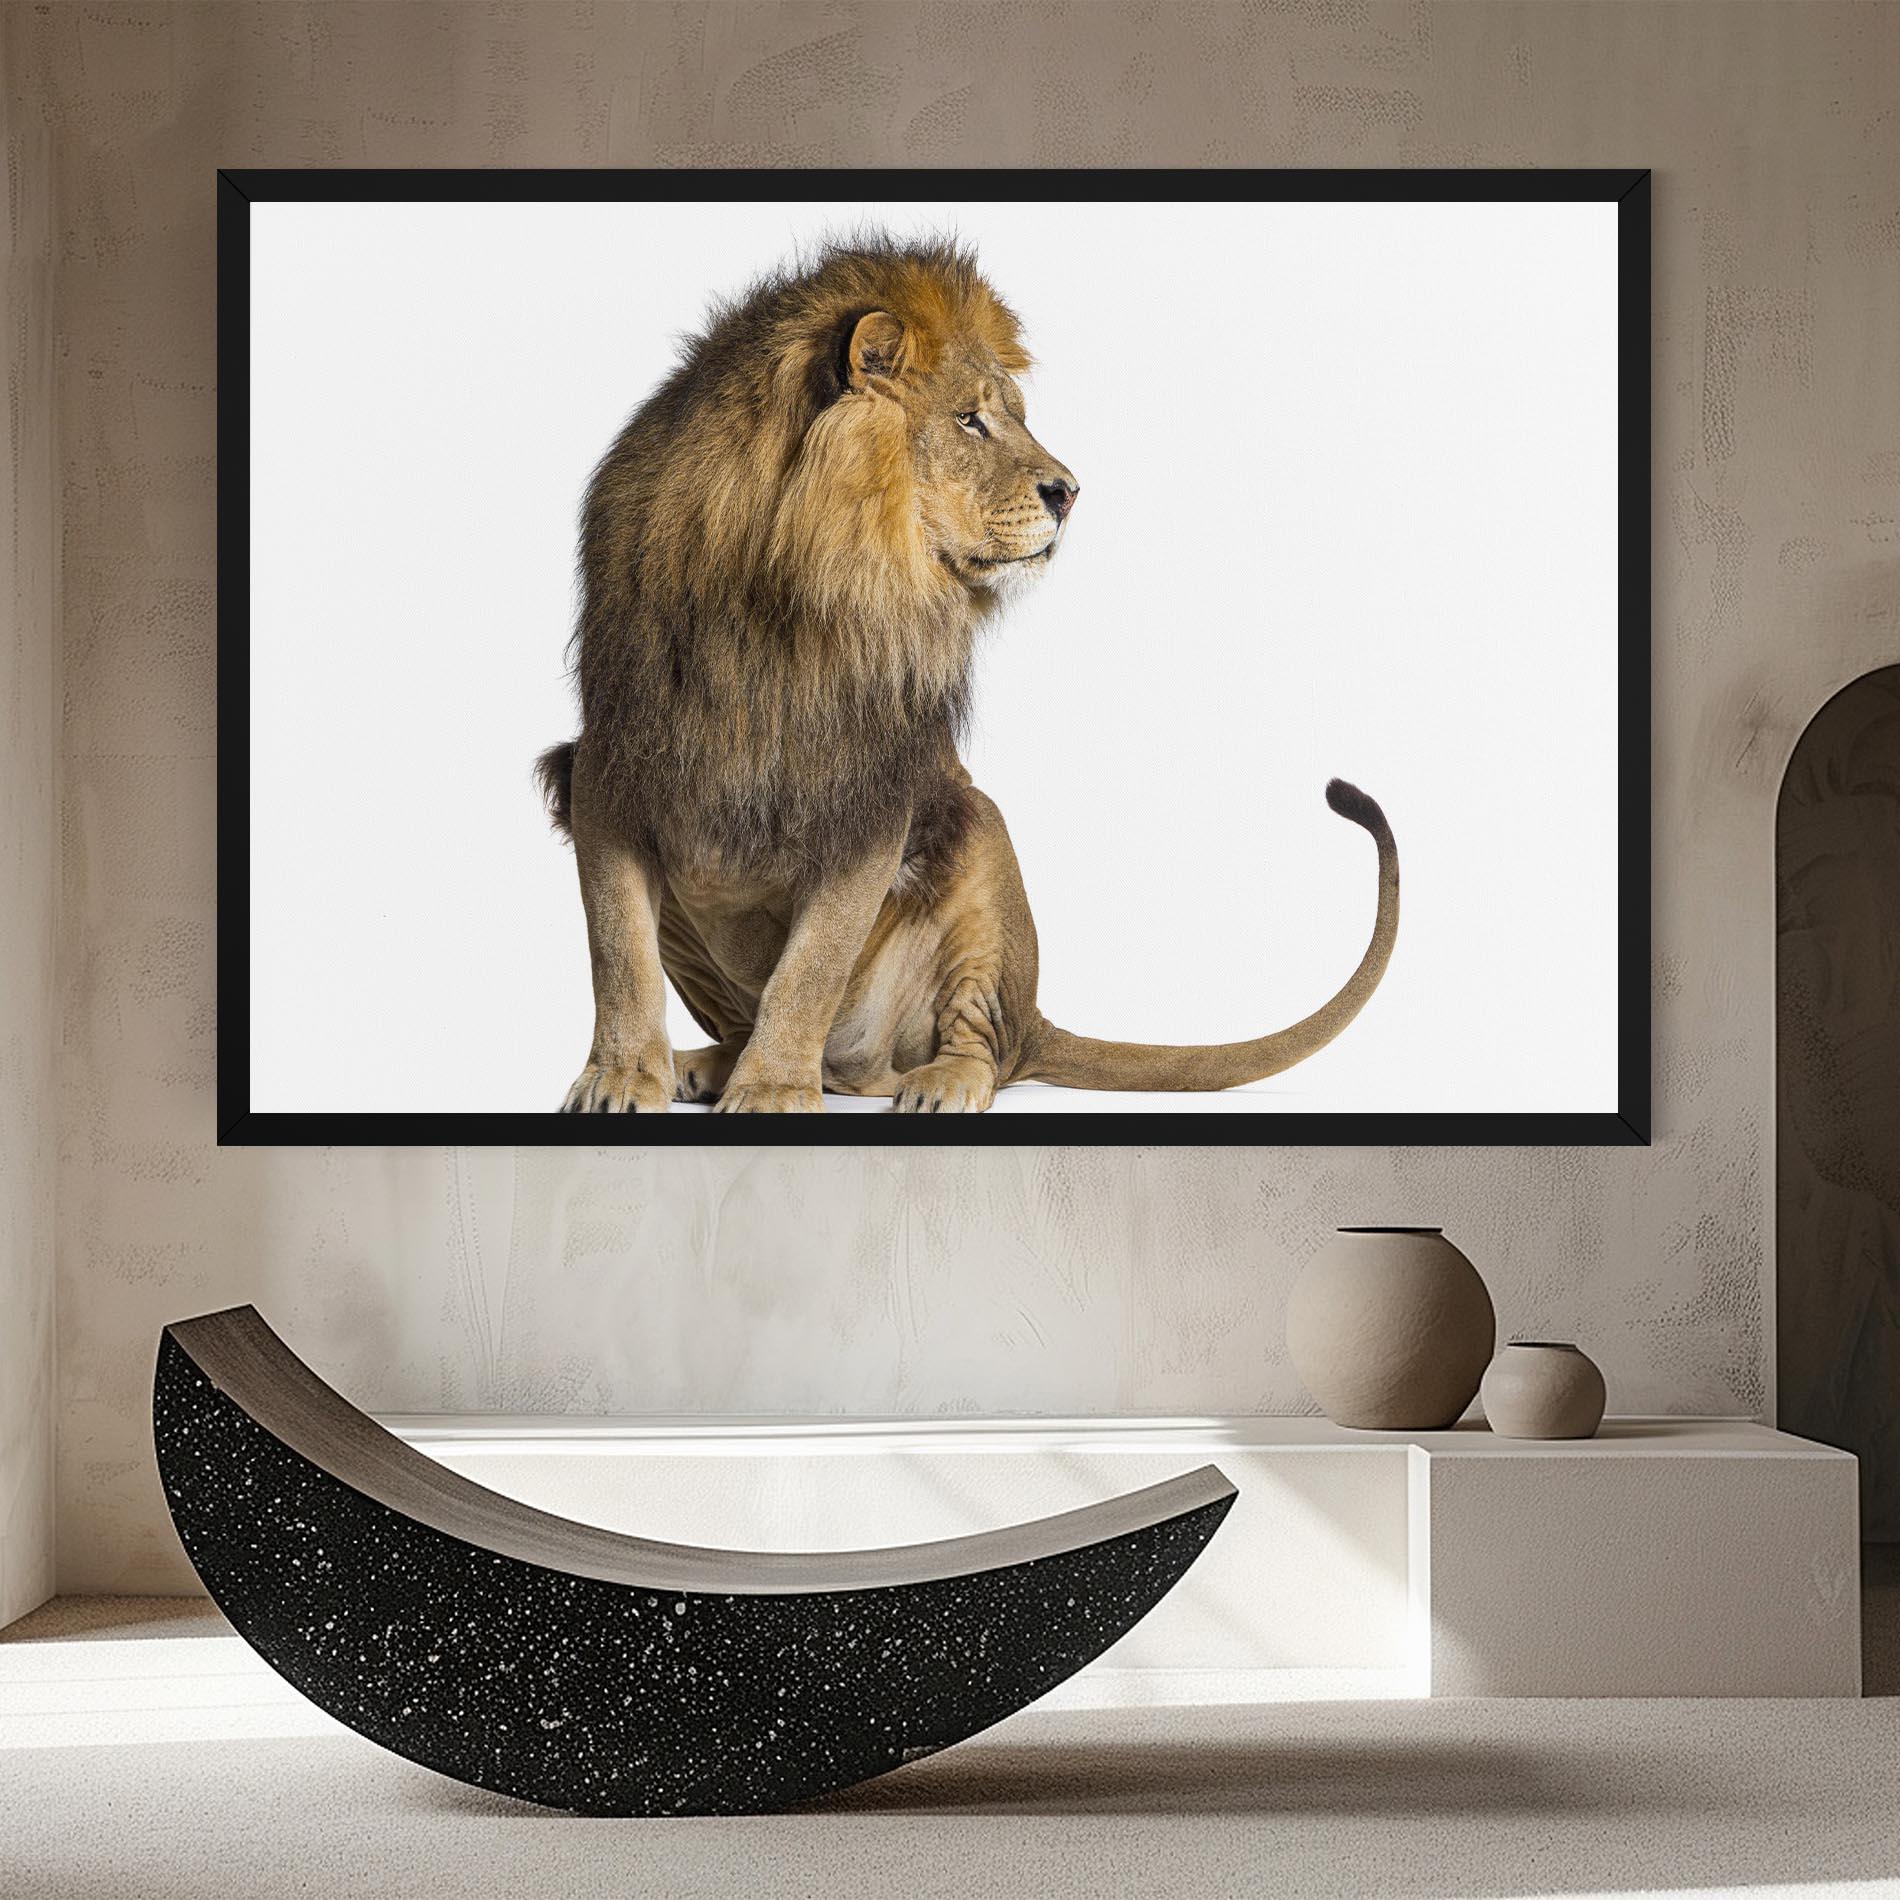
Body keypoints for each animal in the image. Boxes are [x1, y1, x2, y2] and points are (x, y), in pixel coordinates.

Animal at [537, 236, 1398, 1114]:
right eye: (971, 420)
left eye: (1012, 416)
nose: (1071, 492)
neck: (783, 596)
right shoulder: (607, 766)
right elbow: (619, 951)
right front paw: (622, 1076)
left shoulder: (873, 794)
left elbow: (809, 968)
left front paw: (774, 1089)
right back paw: (708, 1064)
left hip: (979, 844)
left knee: (982, 1043)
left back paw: (933, 1080)